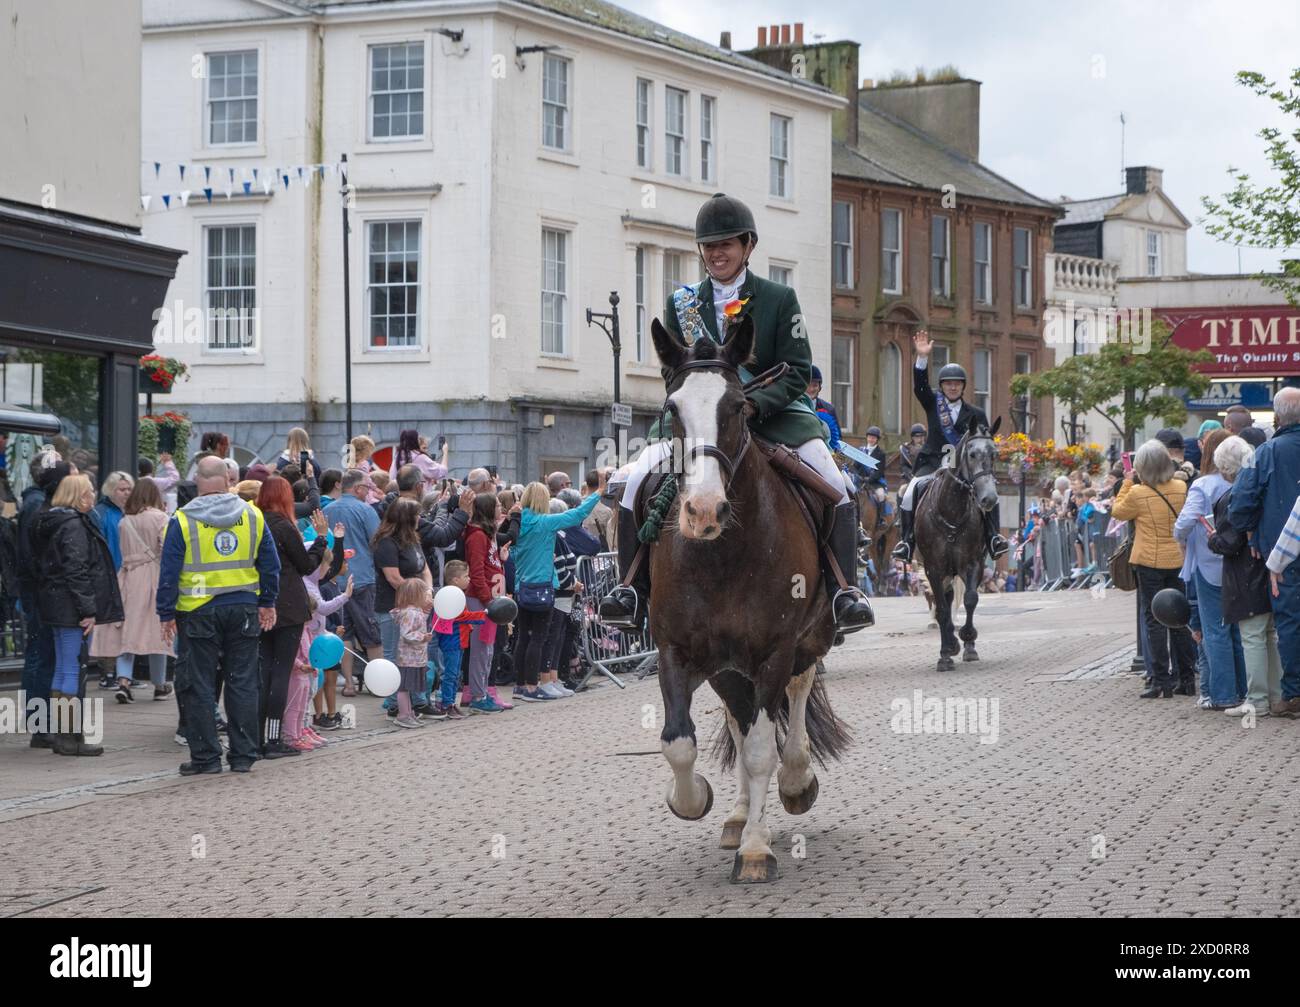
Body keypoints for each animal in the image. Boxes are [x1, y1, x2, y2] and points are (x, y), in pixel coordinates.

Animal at [650, 319, 852, 888]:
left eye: (739, 407)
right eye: (672, 408)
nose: (702, 511)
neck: (721, 554)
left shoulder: (773, 650)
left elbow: (764, 749)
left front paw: (759, 850)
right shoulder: (674, 650)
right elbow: (679, 741)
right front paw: (693, 800)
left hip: (810, 637)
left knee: (796, 694)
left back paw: (796, 780)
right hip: (725, 666)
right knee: (739, 720)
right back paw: (739, 815)